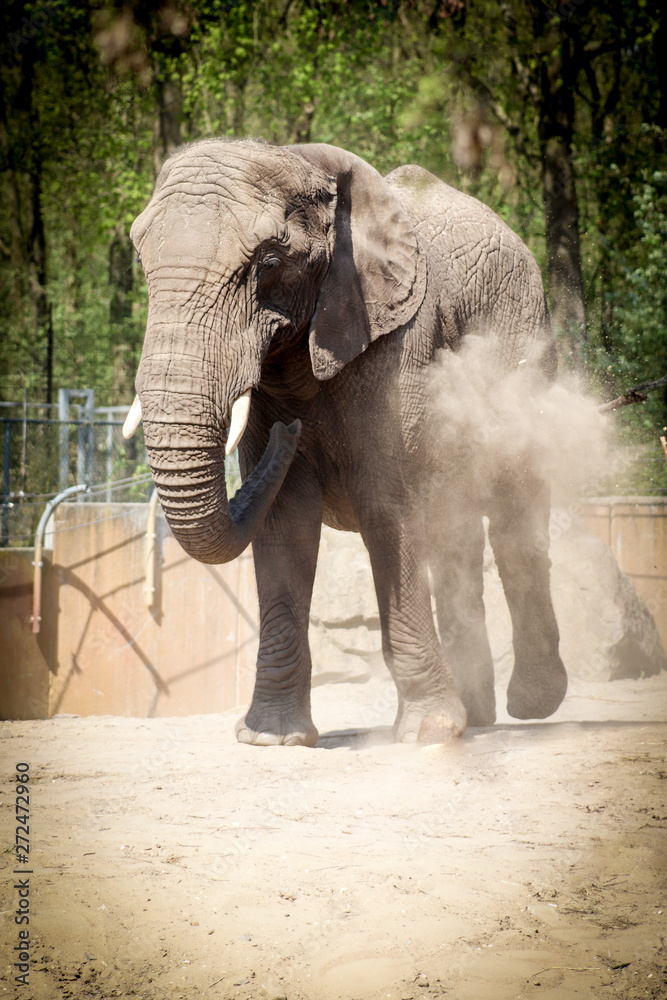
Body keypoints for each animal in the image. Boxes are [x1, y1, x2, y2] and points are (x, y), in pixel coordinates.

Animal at [125, 138, 568, 746]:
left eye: (268, 264)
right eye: (142, 263)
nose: (289, 433)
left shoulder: (398, 344)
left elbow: (389, 507)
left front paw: (427, 734)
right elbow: (283, 524)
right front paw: (272, 738)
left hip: (523, 341)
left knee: (514, 515)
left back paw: (530, 706)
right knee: (455, 538)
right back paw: (476, 717)